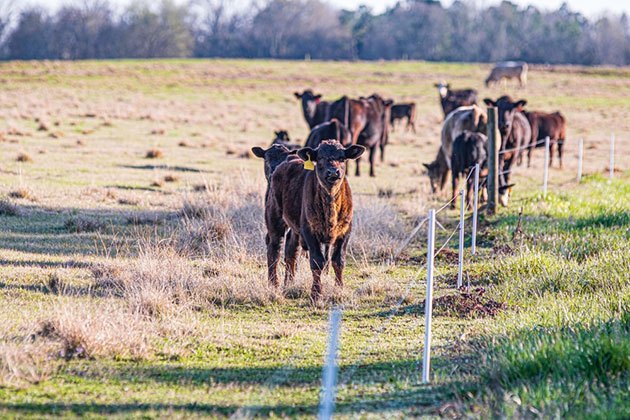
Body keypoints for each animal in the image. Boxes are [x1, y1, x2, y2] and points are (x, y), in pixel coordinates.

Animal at [266, 141, 366, 298]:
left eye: (342, 158)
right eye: (319, 158)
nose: (333, 172)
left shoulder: (345, 232)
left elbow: (338, 260)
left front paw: (339, 288)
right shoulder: (309, 231)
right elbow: (317, 261)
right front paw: (316, 293)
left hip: (295, 229)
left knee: (290, 251)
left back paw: (289, 283)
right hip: (274, 219)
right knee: (274, 250)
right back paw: (273, 284)